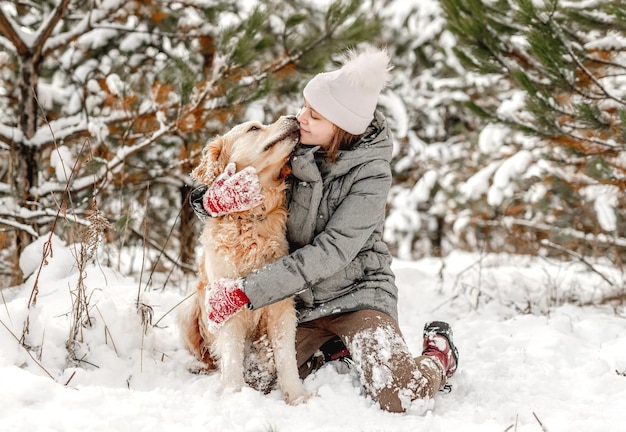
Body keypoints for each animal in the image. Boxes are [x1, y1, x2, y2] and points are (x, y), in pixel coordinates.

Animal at [177, 115, 306, 404]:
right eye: (254, 128)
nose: (292, 117)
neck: (248, 218)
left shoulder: (280, 305)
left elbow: (285, 357)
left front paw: (297, 398)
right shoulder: (224, 304)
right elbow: (232, 358)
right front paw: (235, 396)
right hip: (188, 310)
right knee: (208, 358)